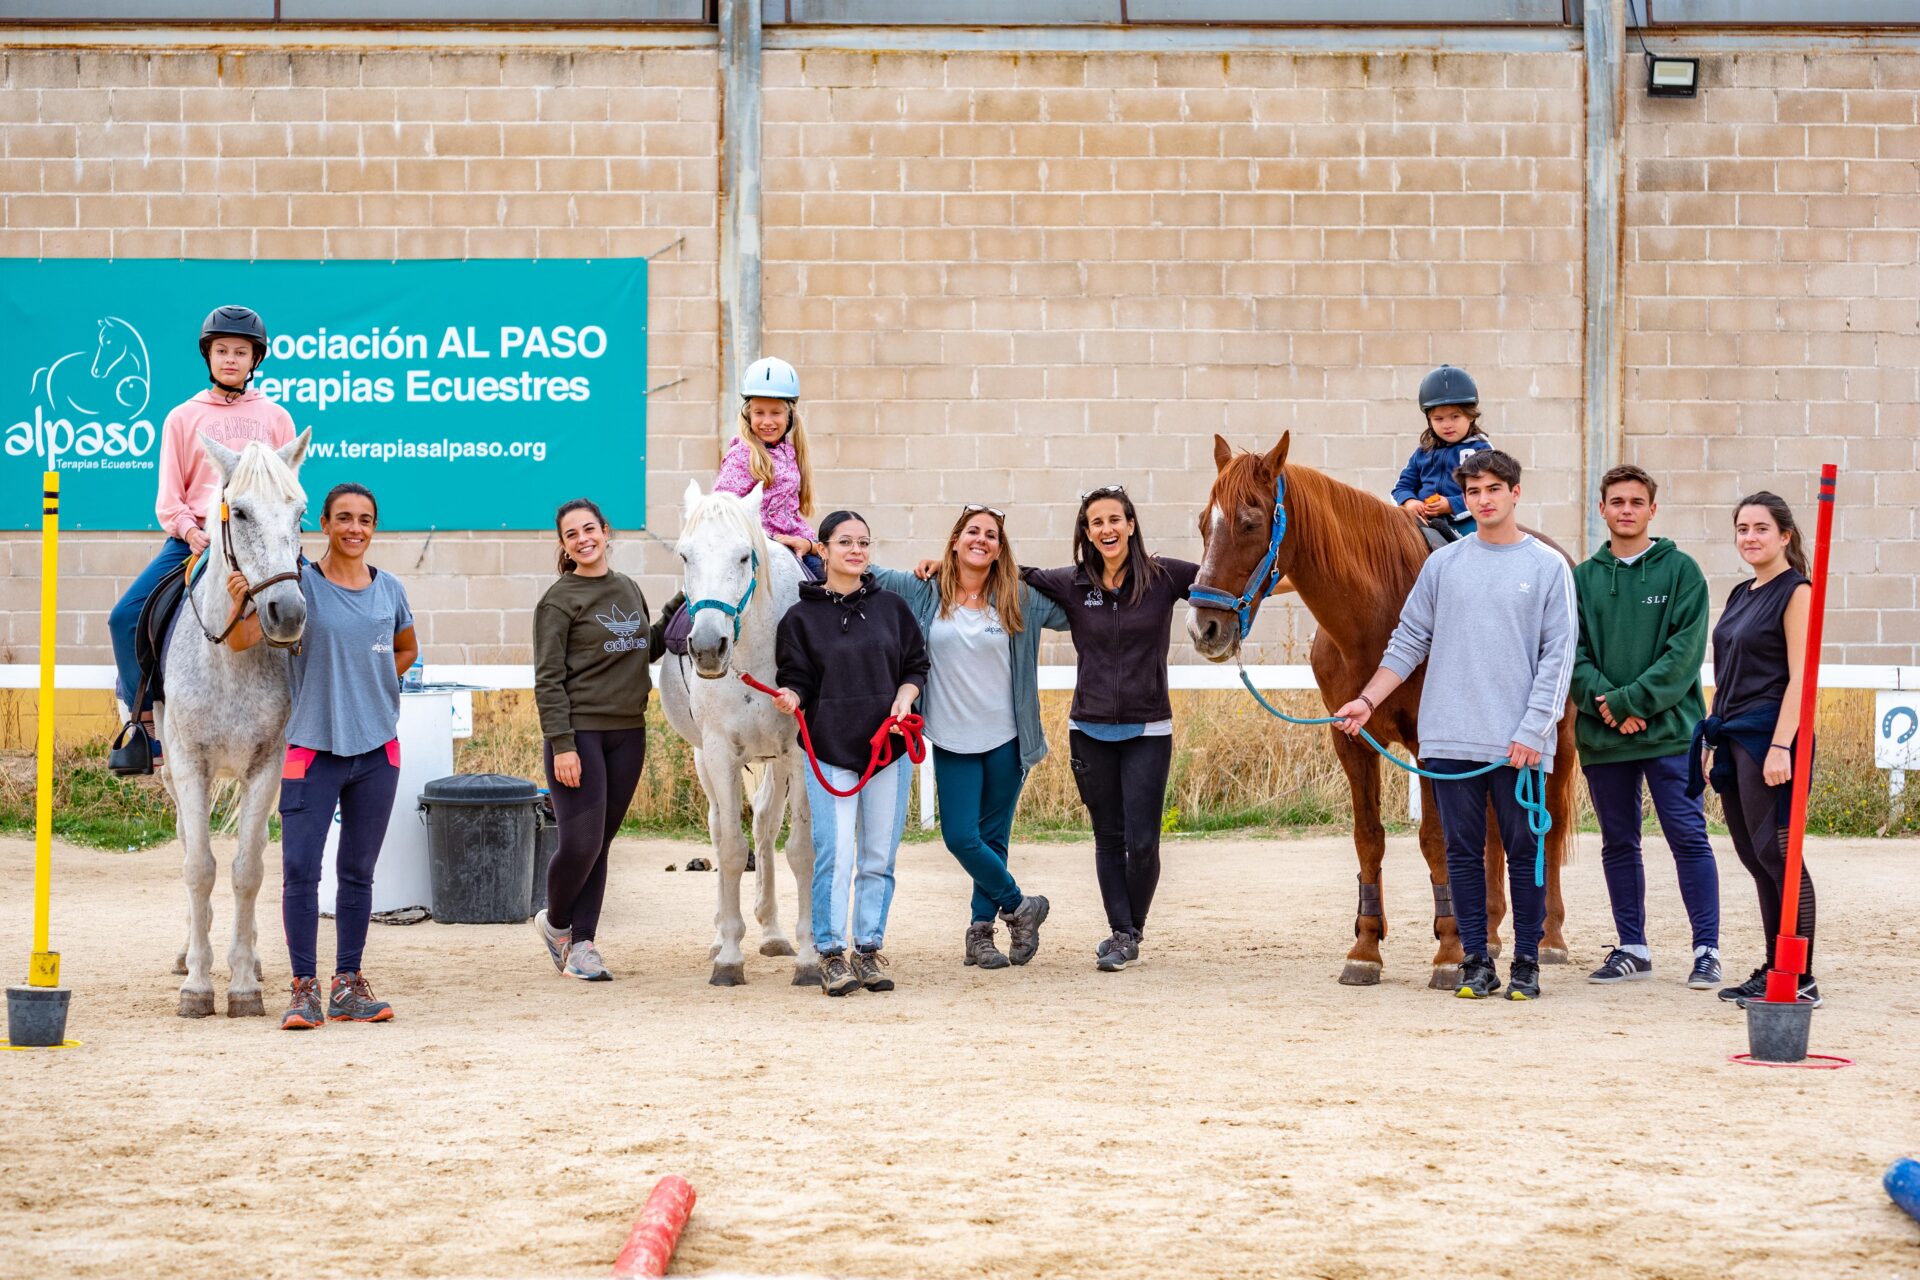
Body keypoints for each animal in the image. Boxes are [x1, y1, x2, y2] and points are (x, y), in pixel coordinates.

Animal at [155, 435, 311, 1013]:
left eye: (301, 513)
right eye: (239, 512)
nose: (287, 613)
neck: (231, 661)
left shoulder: (266, 766)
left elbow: (248, 870)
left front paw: (243, 983)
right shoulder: (188, 764)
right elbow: (199, 868)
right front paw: (198, 986)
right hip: (172, 776)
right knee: (185, 845)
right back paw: (186, 954)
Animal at [660, 479, 817, 990]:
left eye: (745, 555)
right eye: (685, 555)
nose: (709, 648)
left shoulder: (798, 753)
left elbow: (800, 850)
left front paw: (810, 958)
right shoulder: (719, 752)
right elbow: (729, 849)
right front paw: (728, 957)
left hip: (776, 763)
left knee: (765, 827)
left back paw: (773, 932)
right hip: (704, 762)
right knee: (720, 830)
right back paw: (720, 937)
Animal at [1182, 433, 1574, 990]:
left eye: (1251, 521)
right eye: (1203, 522)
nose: (1205, 629)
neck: (1380, 612)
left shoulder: (1431, 748)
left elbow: (1435, 840)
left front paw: (1450, 951)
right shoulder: (1350, 739)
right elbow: (1368, 839)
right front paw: (1366, 948)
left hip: (1557, 737)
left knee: (1551, 827)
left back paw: (1550, 938)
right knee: (1497, 831)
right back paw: (1493, 933)